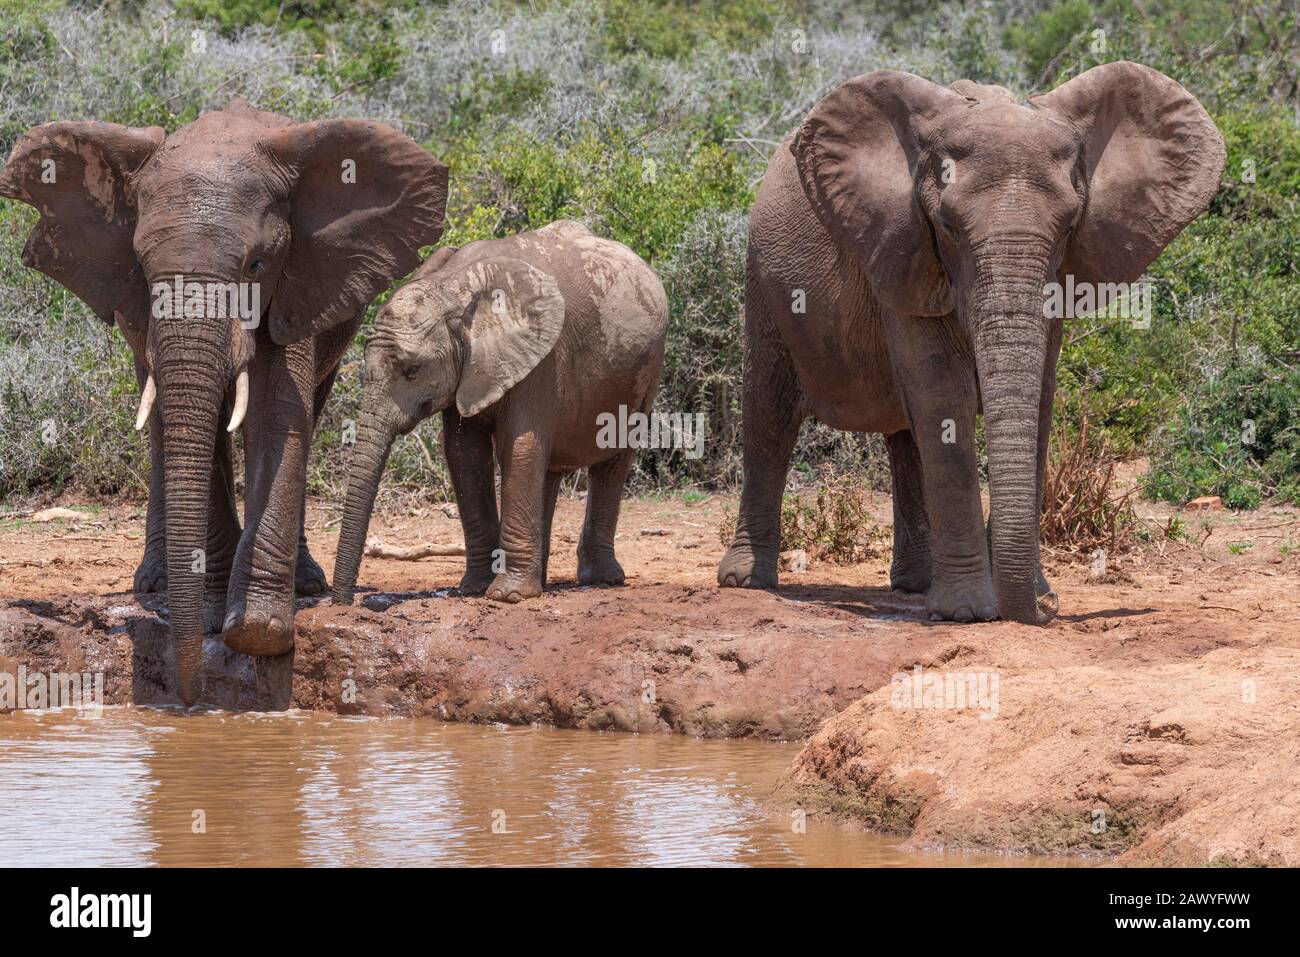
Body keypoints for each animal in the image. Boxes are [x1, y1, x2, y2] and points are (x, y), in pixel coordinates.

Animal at [0, 102, 447, 702]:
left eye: (256, 265)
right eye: (141, 266)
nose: (189, 697)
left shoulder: (297, 278)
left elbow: (278, 417)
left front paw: (257, 631)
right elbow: (190, 422)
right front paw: (212, 617)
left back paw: (303, 583)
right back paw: (157, 583)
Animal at [330, 221, 670, 600]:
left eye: (412, 370)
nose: (344, 601)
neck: (453, 289)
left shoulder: (542, 358)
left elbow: (519, 446)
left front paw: (508, 596)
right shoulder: (468, 368)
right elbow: (464, 454)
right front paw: (475, 588)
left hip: (646, 371)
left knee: (614, 459)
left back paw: (600, 580)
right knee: (549, 466)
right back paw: (543, 579)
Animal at [717, 61, 1222, 629]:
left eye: (1071, 225)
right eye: (947, 226)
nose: (1046, 611)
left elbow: (1036, 403)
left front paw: (1022, 596)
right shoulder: (903, 243)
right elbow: (944, 394)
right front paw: (967, 612)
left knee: (904, 434)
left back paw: (915, 586)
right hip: (764, 278)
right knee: (770, 410)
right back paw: (746, 580)